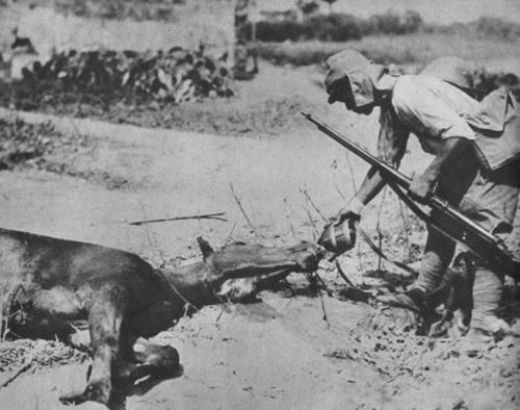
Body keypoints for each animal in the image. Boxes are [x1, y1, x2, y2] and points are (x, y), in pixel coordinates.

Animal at [0, 229, 318, 406]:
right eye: (242, 244)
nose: (308, 251)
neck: (169, 287)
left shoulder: (82, 325)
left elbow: (166, 353)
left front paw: (124, 372)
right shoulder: (106, 289)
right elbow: (107, 352)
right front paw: (94, 387)